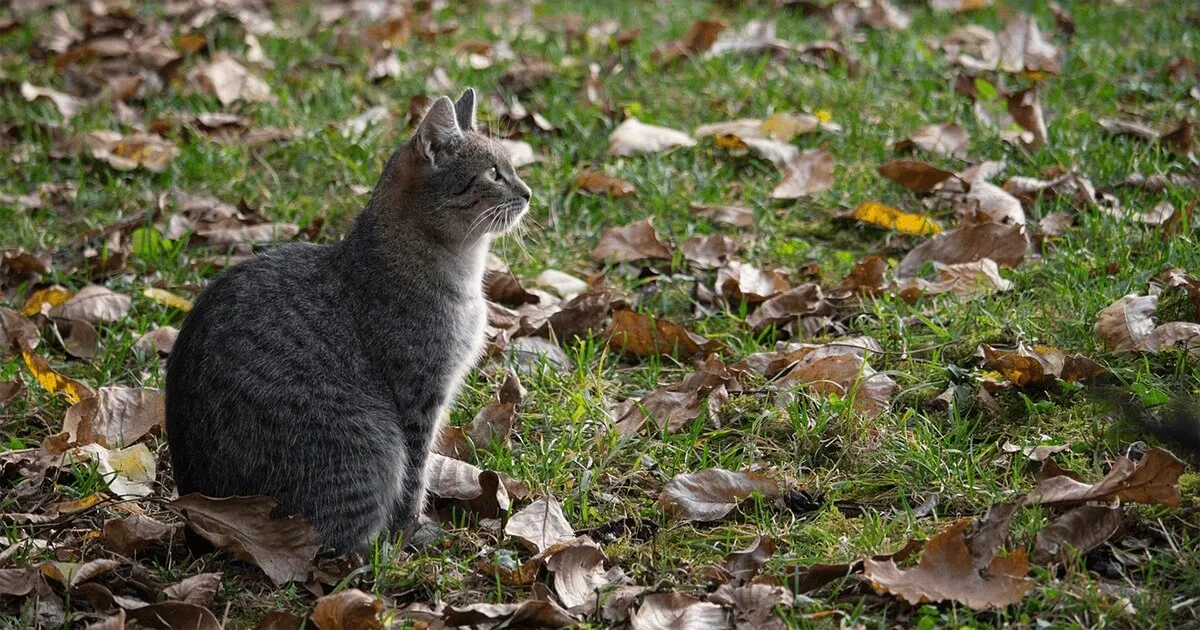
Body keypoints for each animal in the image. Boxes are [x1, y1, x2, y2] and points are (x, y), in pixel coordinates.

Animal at [164, 88, 530, 549]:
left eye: (512, 167)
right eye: (493, 173)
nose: (529, 192)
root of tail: (197, 515)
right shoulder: (419, 397)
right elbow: (415, 476)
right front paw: (412, 531)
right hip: (371, 443)